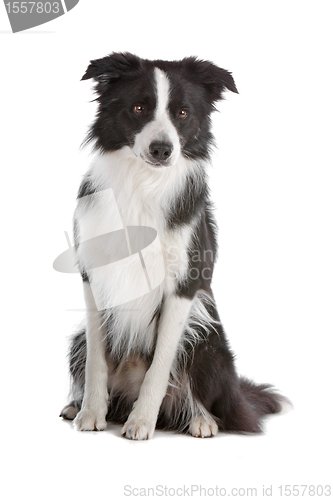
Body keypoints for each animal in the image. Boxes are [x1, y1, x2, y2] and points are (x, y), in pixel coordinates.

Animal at [60, 52, 288, 440]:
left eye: (182, 113)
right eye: (139, 107)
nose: (162, 149)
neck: (143, 183)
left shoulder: (184, 284)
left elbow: (160, 365)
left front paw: (141, 422)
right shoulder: (92, 277)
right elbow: (96, 362)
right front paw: (91, 412)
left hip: (207, 340)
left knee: (208, 401)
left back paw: (200, 420)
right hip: (78, 340)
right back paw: (78, 406)